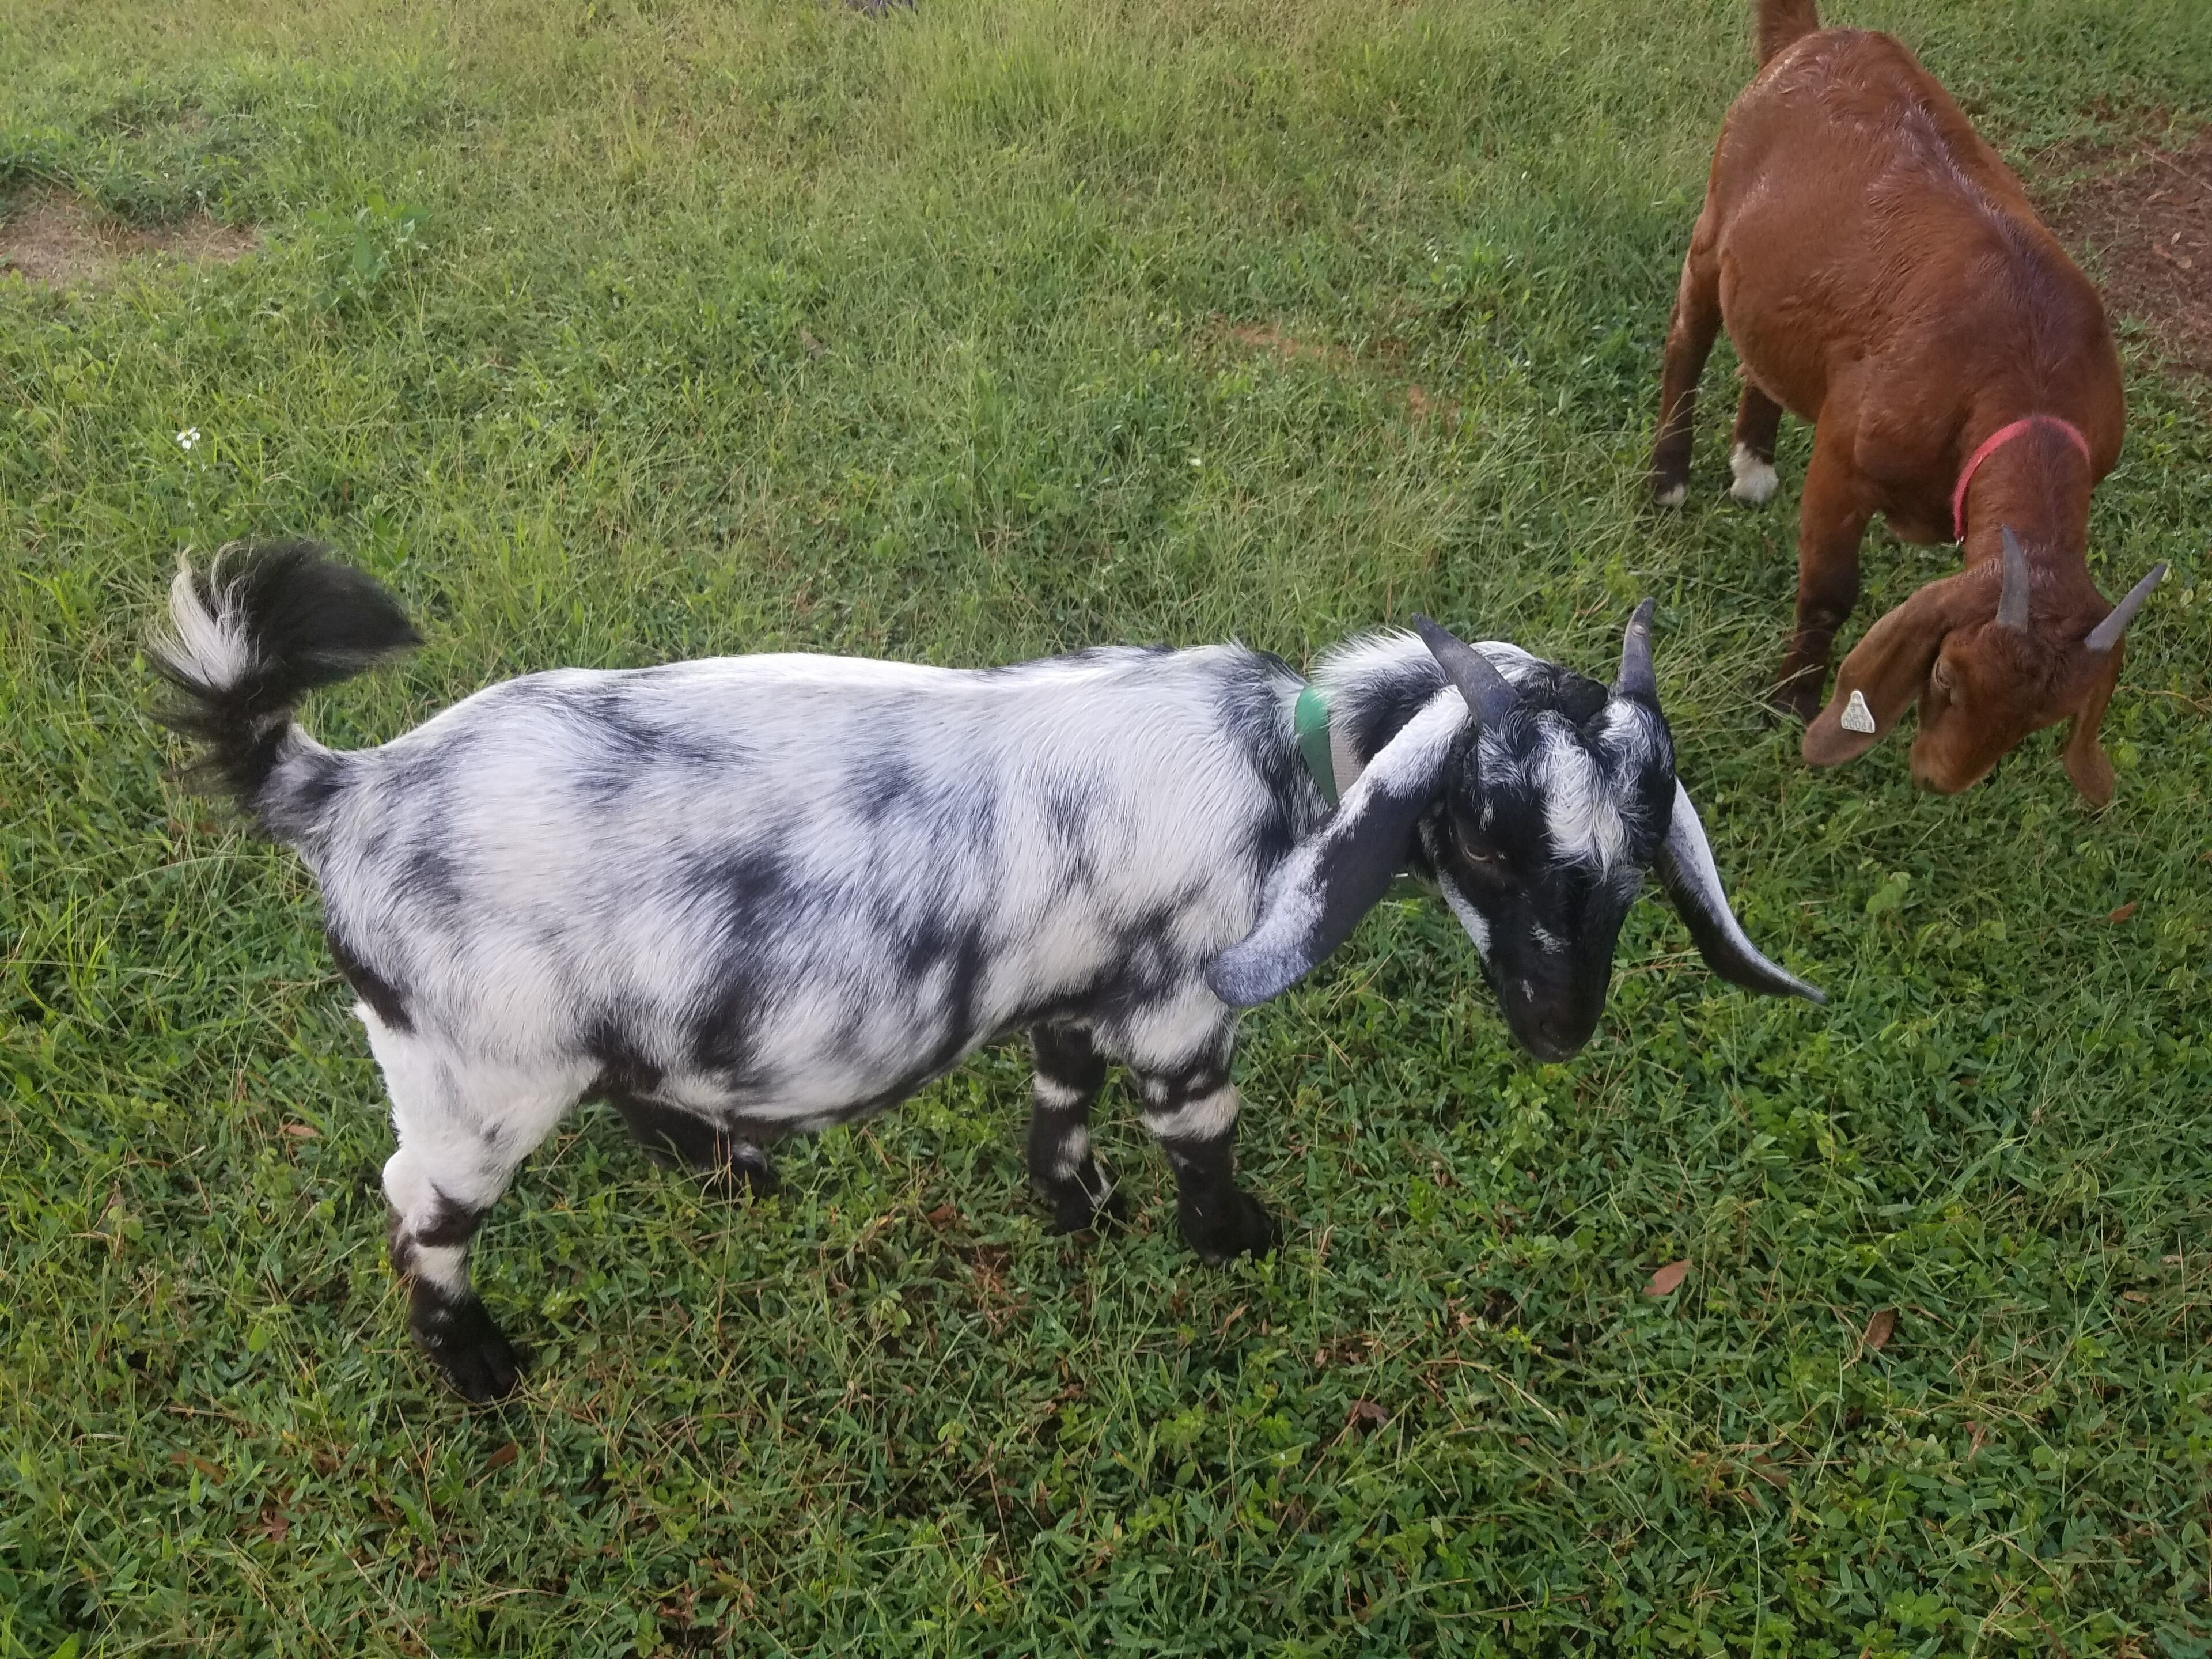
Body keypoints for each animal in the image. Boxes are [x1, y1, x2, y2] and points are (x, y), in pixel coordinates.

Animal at [149, 541, 1822, 1400]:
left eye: (1641, 845)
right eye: (1482, 826)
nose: (1559, 1023)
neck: (1285, 769)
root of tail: (345, 790)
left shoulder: (1078, 993)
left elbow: (1057, 1098)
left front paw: (1074, 1211)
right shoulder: (1182, 1012)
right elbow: (1201, 1135)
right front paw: (1233, 1242)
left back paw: (730, 1173)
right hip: (474, 1077)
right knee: (414, 1205)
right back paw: (477, 1362)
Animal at [1649, 0, 2166, 804]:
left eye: (2043, 721)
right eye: (1947, 677)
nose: (1938, 779)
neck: (2025, 381)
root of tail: (1817, 38)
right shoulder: (1845, 459)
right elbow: (1830, 591)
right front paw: (1791, 703)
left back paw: (1753, 463)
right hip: (1715, 219)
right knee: (1690, 336)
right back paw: (1669, 479)